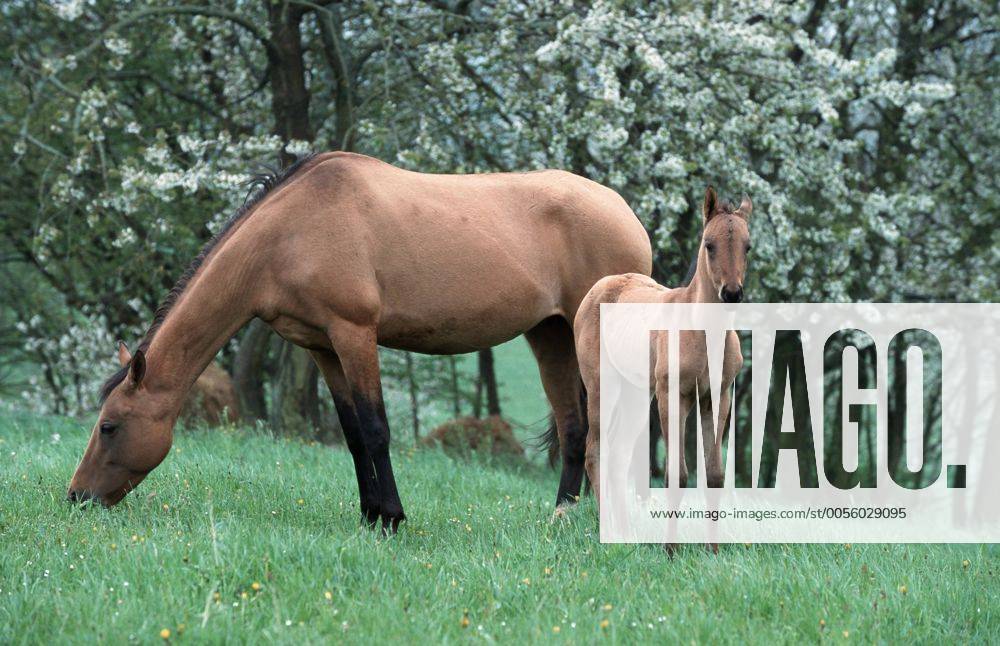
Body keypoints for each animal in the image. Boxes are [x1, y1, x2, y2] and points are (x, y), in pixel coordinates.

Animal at [67, 152, 652, 532]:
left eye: (109, 425)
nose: (76, 497)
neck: (291, 232)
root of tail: (625, 213)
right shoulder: (322, 347)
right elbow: (351, 434)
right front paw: (369, 514)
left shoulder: (355, 333)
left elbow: (376, 429)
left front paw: (390, 517)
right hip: (549, 335)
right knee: (576, 428)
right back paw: (563, 516)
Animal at [574, 187, 752, 514]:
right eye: (709, 245)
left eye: (747, 247)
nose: (732, 293)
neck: (704, 331)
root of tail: (602, 285)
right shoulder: (672, 395)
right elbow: (676, 475)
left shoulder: (718, 397)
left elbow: (714, 475)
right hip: (602, 386)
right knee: (594, 451)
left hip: (636, 392)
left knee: (618, 455)